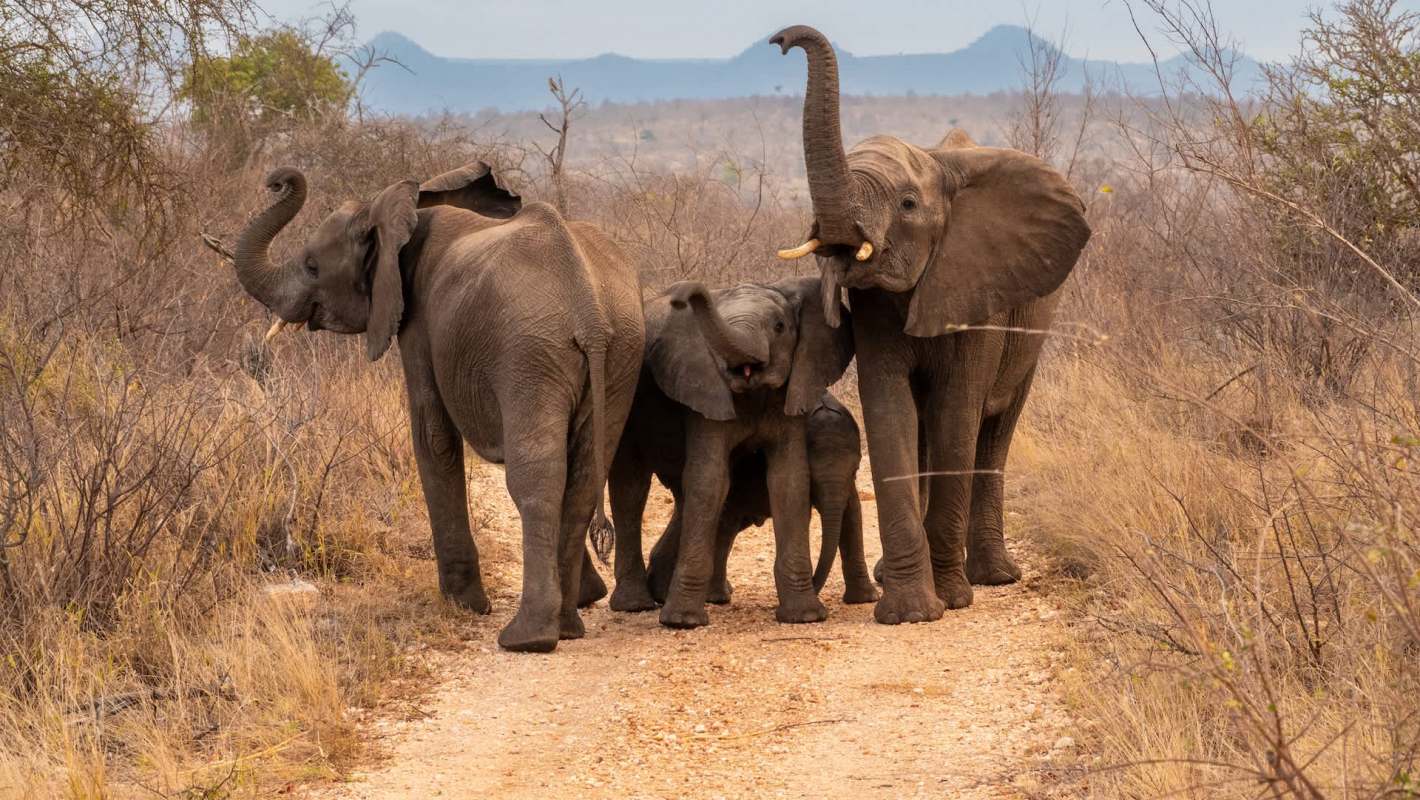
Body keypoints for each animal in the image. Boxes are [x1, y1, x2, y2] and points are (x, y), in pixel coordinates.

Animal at [224, 162, 644, 652]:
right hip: (620, 354)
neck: (394, 212)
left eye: (312, 266)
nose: (276, 179)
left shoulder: (417, 319)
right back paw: (568, 627)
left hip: (529, 354)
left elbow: (431, 434)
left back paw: (527, 638)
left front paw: (464, 604)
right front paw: (585, 594)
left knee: (536, 479)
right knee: (582, 479)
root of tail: (589, 311)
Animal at [606, 276, 855, 628]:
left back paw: (663, 591)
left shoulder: (791, 391)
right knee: (631, 487)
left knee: (681, 496)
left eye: (779, 327)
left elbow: (788, 480)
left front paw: (804, 617)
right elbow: (709, 480)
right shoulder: (705, 390)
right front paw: (683, 622)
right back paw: (636, 604)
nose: (681, 295)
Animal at [643, 392, 878, 607]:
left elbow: (852, 513)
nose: (814, 586)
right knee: (725, 525)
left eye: (856, 469)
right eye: (811, 476)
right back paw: (712, 597)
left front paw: (866, 599)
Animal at [769, 26, 1092, 623]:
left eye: (907, 204)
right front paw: (910, 611)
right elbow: (889, 408)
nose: (782, 39)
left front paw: (952, 599)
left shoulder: (980, 288)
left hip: (1032, 331)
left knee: (994, 430)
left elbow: (957, 412)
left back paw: (994, 576)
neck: (940, 164)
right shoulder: (872, 301)